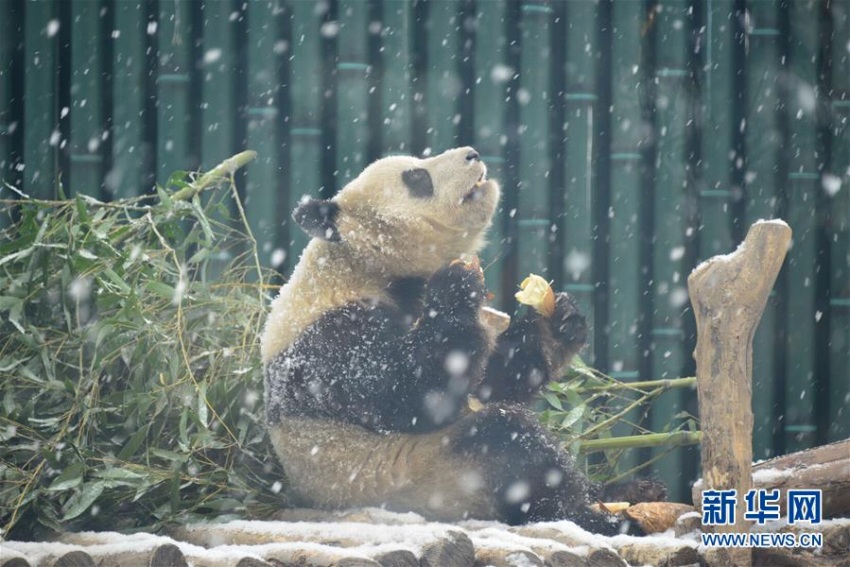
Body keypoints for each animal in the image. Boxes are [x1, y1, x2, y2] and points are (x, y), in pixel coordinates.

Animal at [258, 148, 616, 536]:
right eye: (417, 177)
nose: (472, 154)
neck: (362, 265)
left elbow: (490, 383)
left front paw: (560, 321)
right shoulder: (331, 339)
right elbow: (410, 393)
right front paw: (456, 287)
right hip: (429, 479)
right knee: (507, 442)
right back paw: (593, 516)